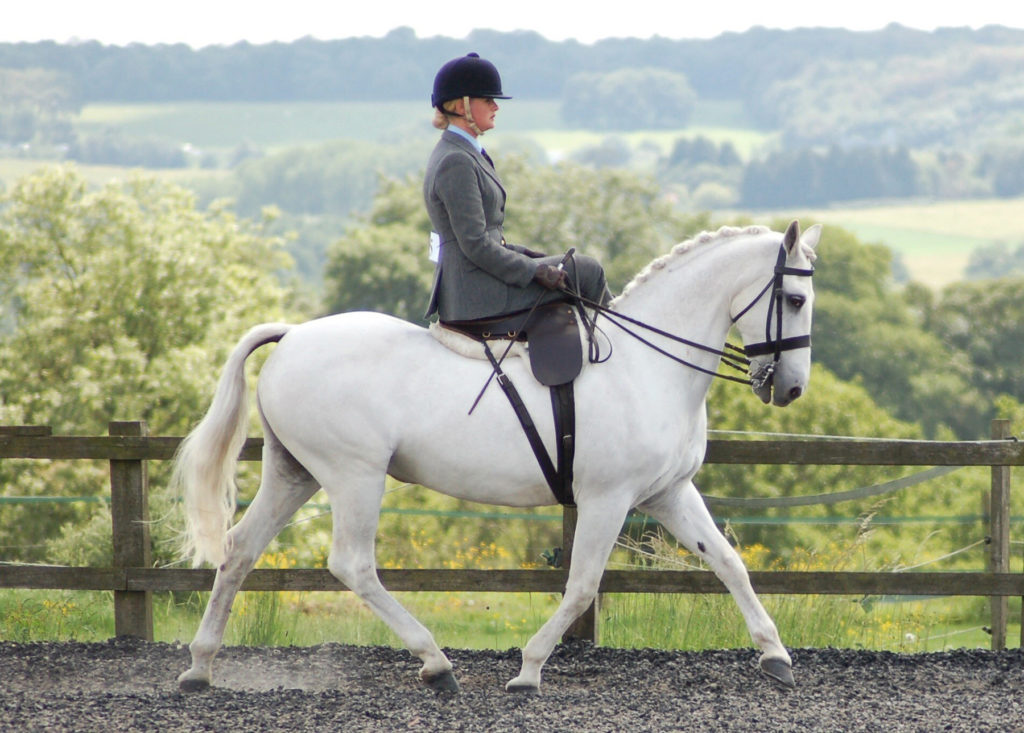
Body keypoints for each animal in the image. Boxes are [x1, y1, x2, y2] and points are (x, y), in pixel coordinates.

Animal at [172, 220, 819, 692]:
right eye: (793, 298)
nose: (790, 389)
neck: (649, 365)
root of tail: (294, 335)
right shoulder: (606, 499)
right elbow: (582, 584)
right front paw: (529, 670)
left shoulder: (668, 493)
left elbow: (729, 563)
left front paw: (776, 657)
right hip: (353, 475)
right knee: (352, 565)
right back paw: (435, 662)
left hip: (295, 472)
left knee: (239, 550)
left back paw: (200, 667)